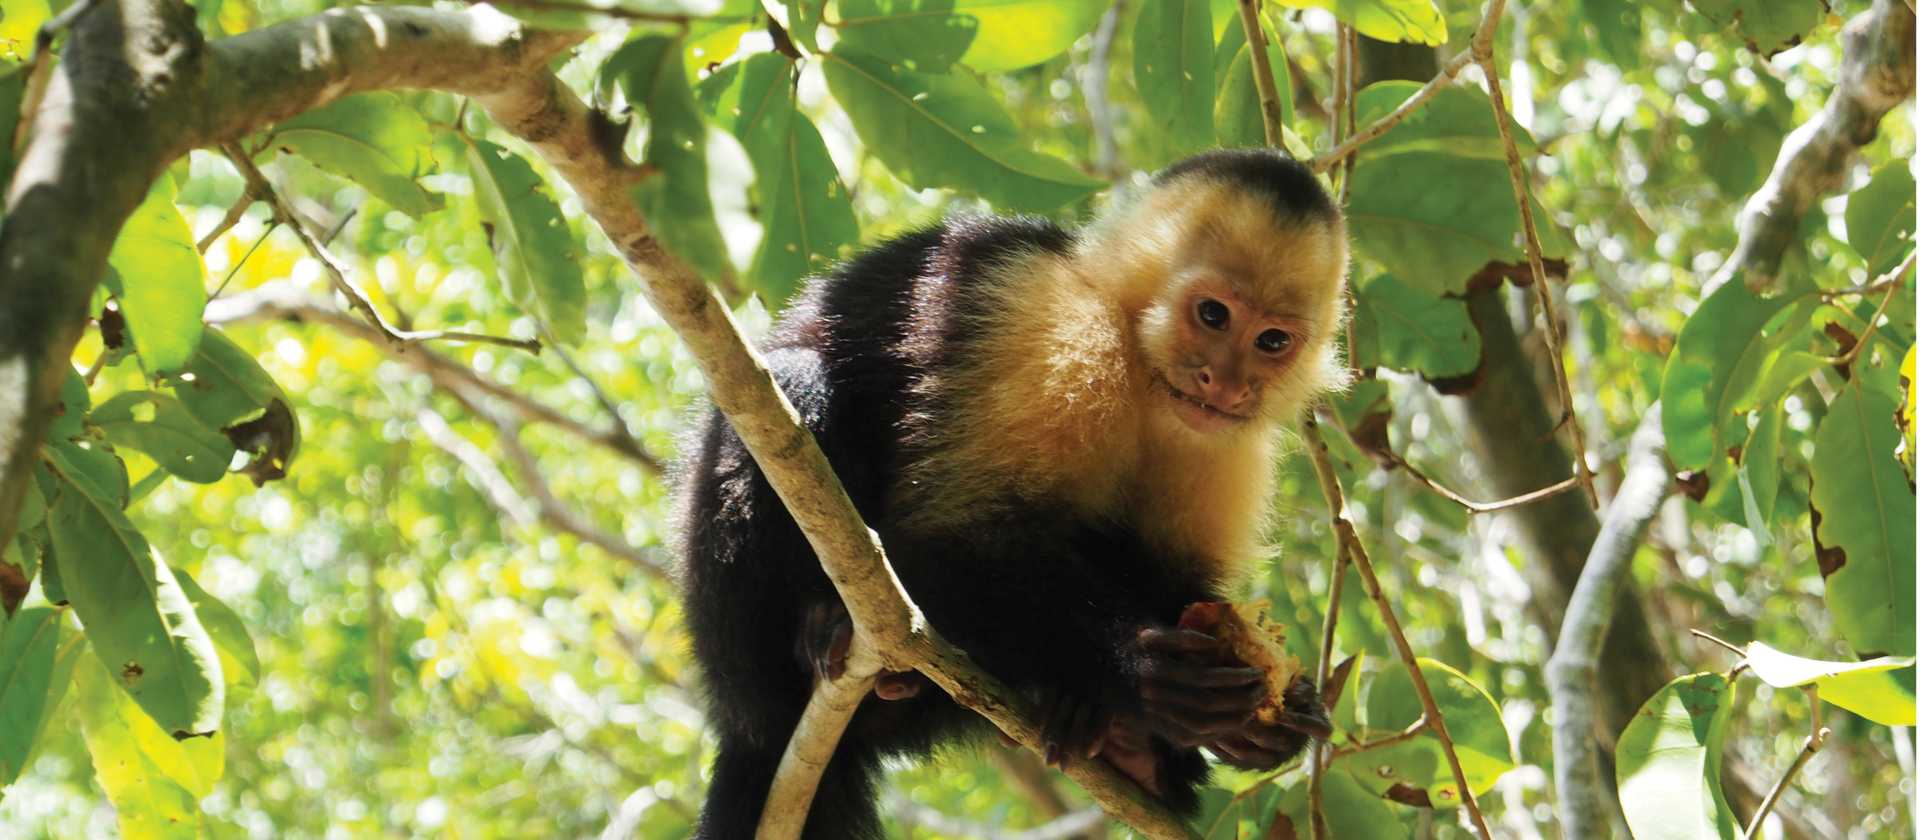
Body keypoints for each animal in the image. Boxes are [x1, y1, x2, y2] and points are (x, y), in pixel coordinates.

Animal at [673, 148, 1349, 838]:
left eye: (1272, 341)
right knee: (796, 387)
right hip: (733, 649)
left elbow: (1178, 581)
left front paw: (1270, 723)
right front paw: (1144, 671)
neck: (1140, 366)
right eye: (1212, 314)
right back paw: (818, 636)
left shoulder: (1229, 445)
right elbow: (948, 538)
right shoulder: (1050, 324)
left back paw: (1117, 739)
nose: (1227, 383)